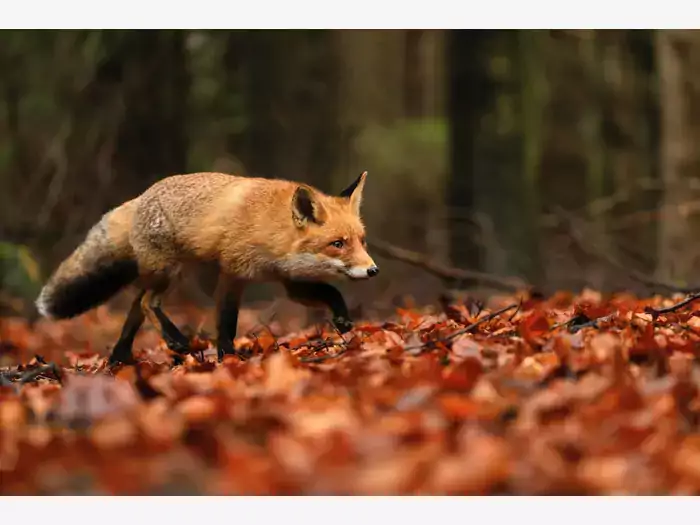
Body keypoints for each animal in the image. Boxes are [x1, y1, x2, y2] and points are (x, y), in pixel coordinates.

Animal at [36, 172, 380, 364]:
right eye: (338, 243)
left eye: (362, 241)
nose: (373, 270)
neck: (271, 228)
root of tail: (139, 197)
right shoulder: (233, 273)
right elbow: (225, 323)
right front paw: (227, 358)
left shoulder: (287, 279)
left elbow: (330, 291)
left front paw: (342, 318)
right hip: (169, 272)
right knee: (146, 302)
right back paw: (174, 339)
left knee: (135, 306)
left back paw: (119, 360)